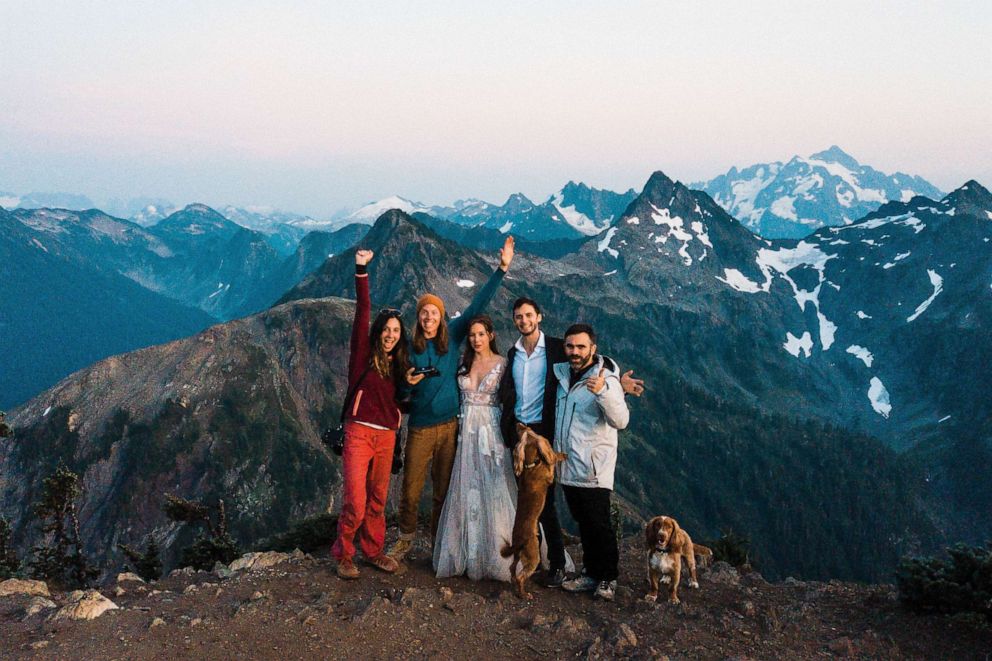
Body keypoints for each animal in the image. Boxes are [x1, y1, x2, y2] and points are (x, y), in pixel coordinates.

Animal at [504, 422, 564, 600]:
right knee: (521, 577)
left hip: (518, 555)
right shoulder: (550, 475)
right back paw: (524, 595)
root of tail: (518, 541)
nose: (520, 423)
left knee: (512, 568)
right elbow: (553, 461)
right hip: (533, 556)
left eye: (526, 429)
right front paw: (561, 455)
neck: (532, 463)